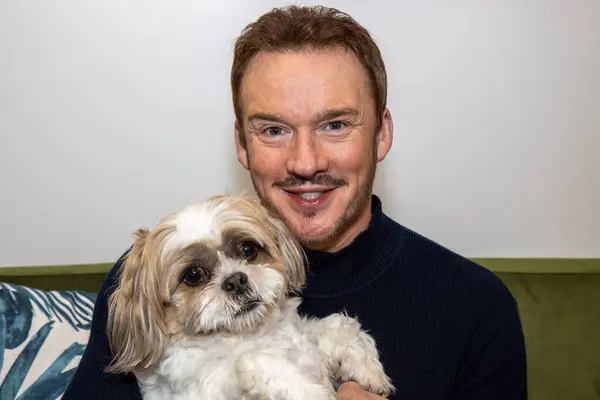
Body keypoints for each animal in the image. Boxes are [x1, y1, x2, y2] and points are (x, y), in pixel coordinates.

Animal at [106, 195, 394, 400]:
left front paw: (368, 370)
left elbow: (339, 325)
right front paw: (312, 391)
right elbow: (253, 361)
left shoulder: (305, 343)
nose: (235, 280)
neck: (247, 335)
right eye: (193, 275)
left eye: (247, 249)